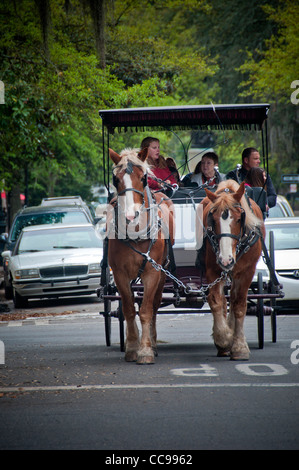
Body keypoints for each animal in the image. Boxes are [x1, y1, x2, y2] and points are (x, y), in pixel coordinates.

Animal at [107, 147, 176, 364]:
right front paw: (132, 346)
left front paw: (145, 350)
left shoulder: (152, 272)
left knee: (154, 305)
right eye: (116, 179)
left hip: (162, 273)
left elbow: (146, 310)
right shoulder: (119, 274)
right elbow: (129, 309)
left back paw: (152, 343)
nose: (131, 216)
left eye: (143, 178)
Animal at [204, 180, 264, 360]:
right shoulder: (213, 270)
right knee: (226, 300)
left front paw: (239, 347)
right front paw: (223, 337)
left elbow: (239, 305)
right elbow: (216, 301)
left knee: (234, 298)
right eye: (213, 219)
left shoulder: (246, 272)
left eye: (238, 219)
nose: (226, 260)